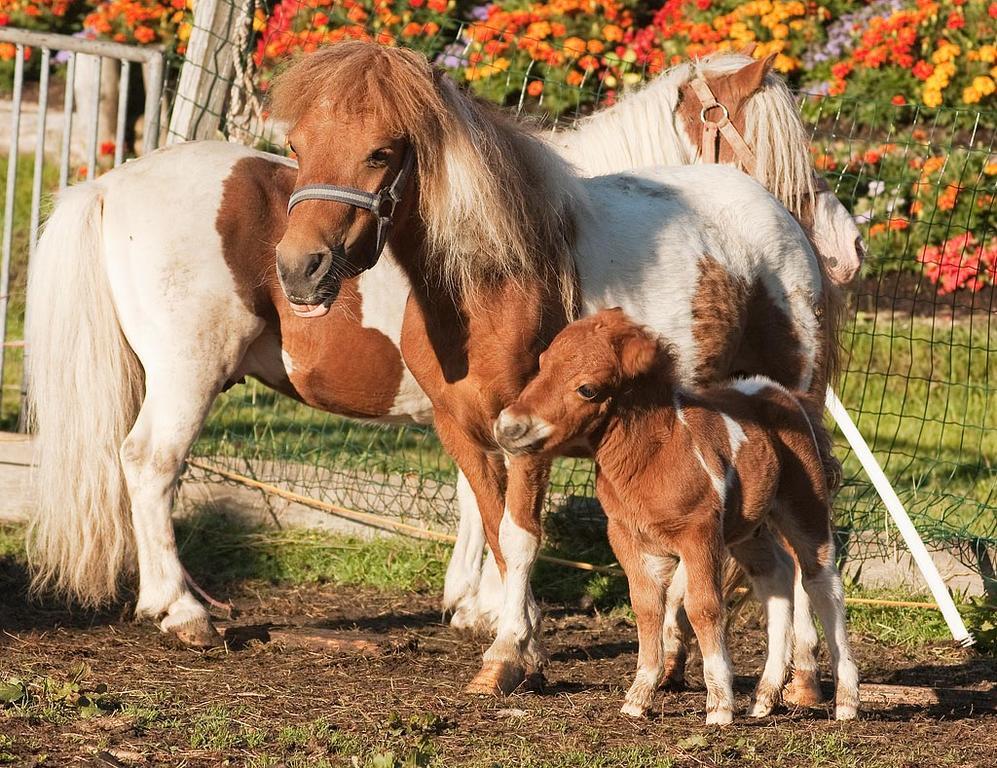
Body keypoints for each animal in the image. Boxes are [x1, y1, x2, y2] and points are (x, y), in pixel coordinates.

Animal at [25, 43, 840, 696]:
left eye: (382, 151)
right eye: (782, 147)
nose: (843, 247)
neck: (500, 262)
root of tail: (107, 185)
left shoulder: (495, 423)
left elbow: (489, 516)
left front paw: (491, 617)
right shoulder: (490, 421)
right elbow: (502, 524)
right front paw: (504, 629)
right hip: (187, 373)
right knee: (150, 464)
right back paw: (182, 610)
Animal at [494, 308, 860, 724]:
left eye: (587, 389)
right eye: (542, 365)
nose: (509, 427)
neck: (655, 454)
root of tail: (783, 394)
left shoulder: (698, 535)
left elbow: (703, 607)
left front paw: (719, 704)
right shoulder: (627, 538)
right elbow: (647, 606)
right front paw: (639, 696)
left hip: (803, 508)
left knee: (822, 582)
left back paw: (846, 700)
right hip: (747, 532)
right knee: (776, 578)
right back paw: (765, 697)